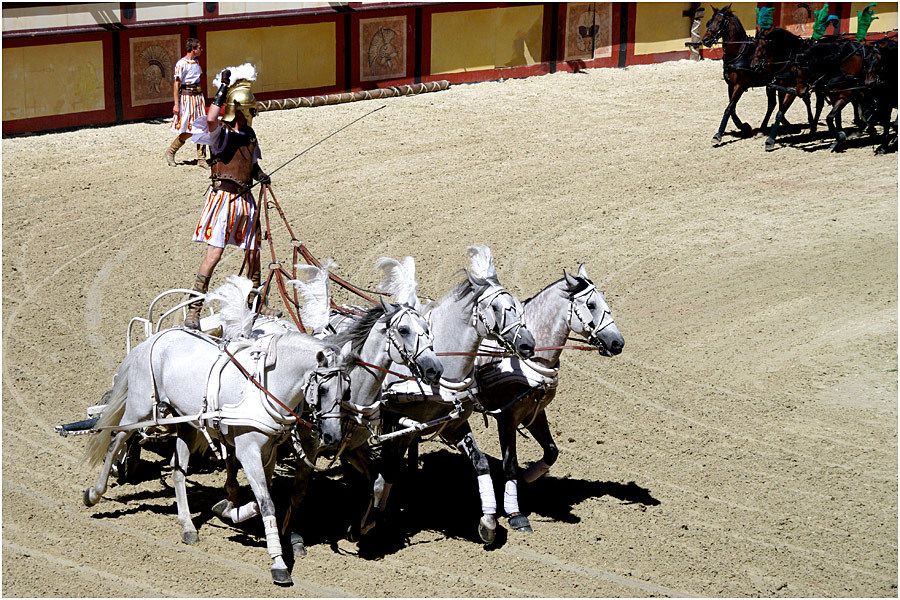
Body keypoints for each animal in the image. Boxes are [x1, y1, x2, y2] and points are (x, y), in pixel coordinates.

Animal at [82, 276, 354, 584]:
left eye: (347, 390)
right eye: (323, 389)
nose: (332, 437)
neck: (264, 386)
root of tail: (156, 339)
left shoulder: (268, 451)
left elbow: (261, 498)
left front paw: (226, 509)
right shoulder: (248, 451)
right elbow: (266, 502)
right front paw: (278, 563)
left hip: (186, 423)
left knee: (177, 471)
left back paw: (188, 527)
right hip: (139, 408)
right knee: (117, 439)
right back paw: (94, 493)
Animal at [372, 246, 536, 548]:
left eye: (517, 305)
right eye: (496, 307)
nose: (528, 344)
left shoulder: (453, 423)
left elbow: (481, 462)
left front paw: (488, 524)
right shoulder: (396, 424)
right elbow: (386, 471)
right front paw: (377, 523)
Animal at [474, 264, 624, 532]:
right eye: (591, 304)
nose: (618, 343)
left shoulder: (534, 413)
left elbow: (552, 451)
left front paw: (528, 478)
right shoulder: (507, 417)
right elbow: (510, 464)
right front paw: (516, 514)